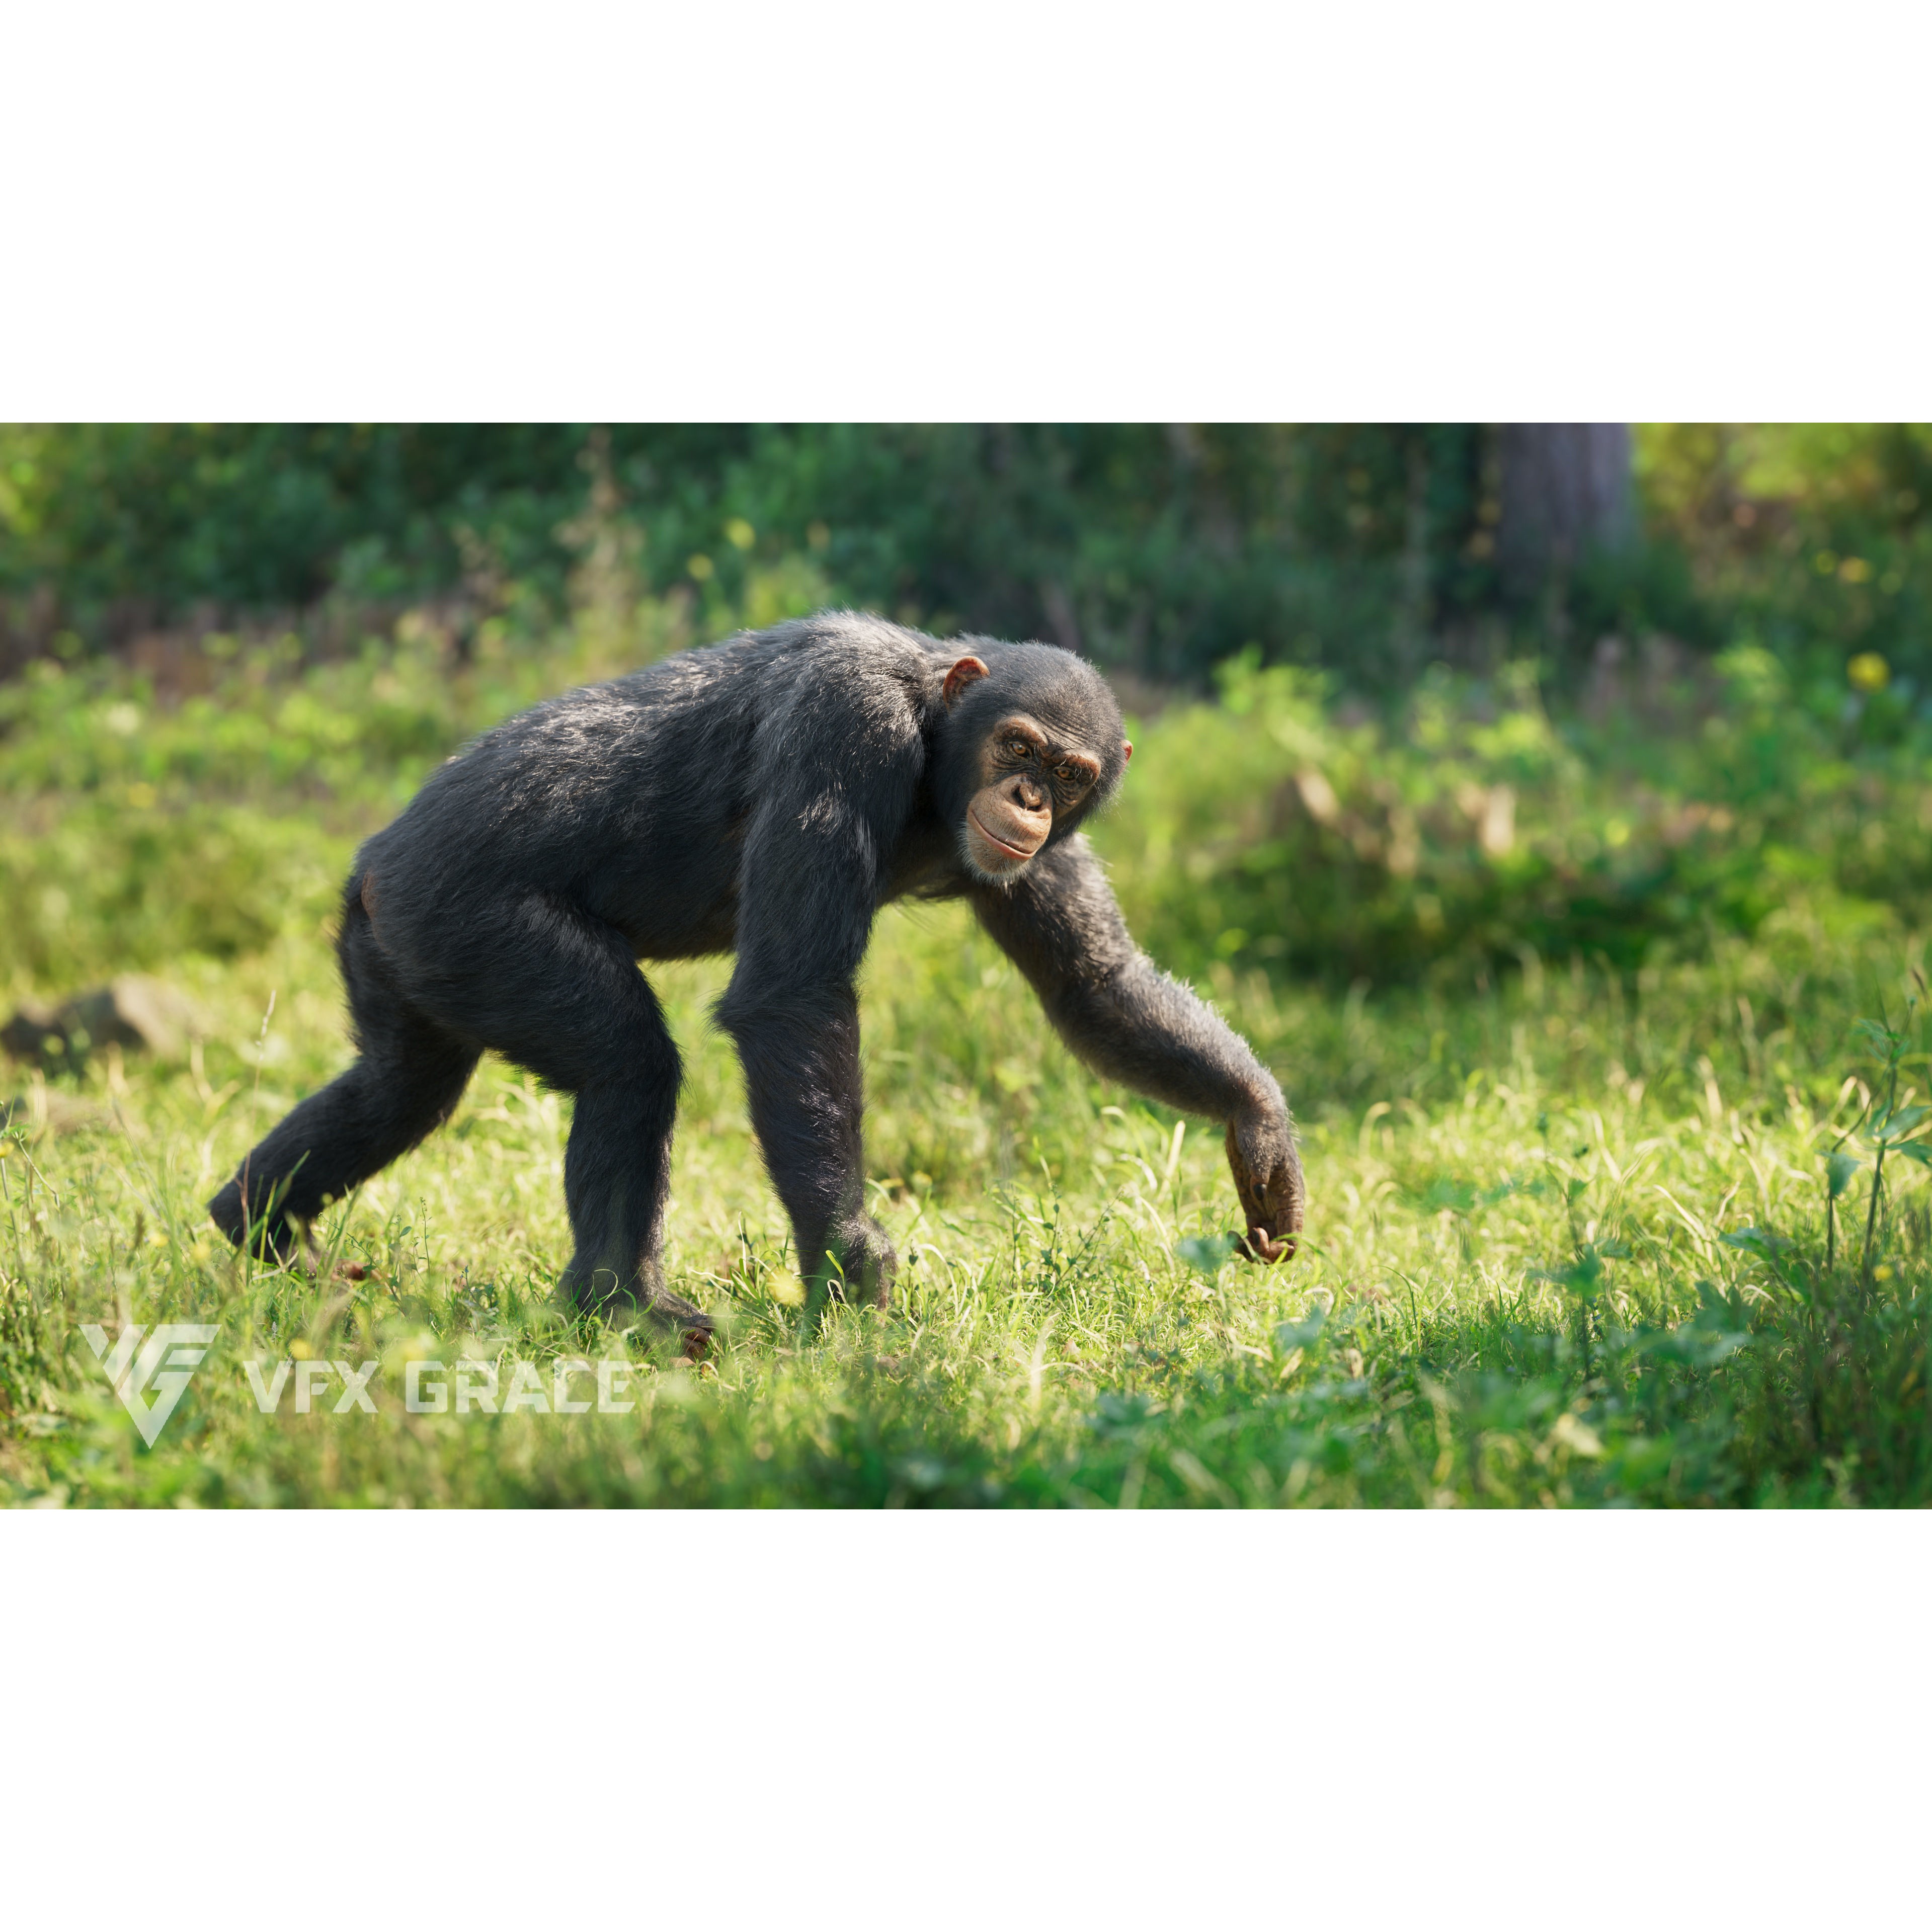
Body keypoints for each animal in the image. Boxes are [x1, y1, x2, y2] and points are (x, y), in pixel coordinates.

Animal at [209, 612, 1305, 1346]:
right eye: (1019, 745)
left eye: (1072, 774)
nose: (1032, 797)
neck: (933, 738)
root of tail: (373, 865)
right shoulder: (845, 727)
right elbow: (794, 998)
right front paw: (851, 1263)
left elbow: (1097, 984)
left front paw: (1260, 1129)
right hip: (468, 922)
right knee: (626, 1063)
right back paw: (626, 1307)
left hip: (405, 958)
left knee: (400, 1089)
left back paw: (261, 1224)